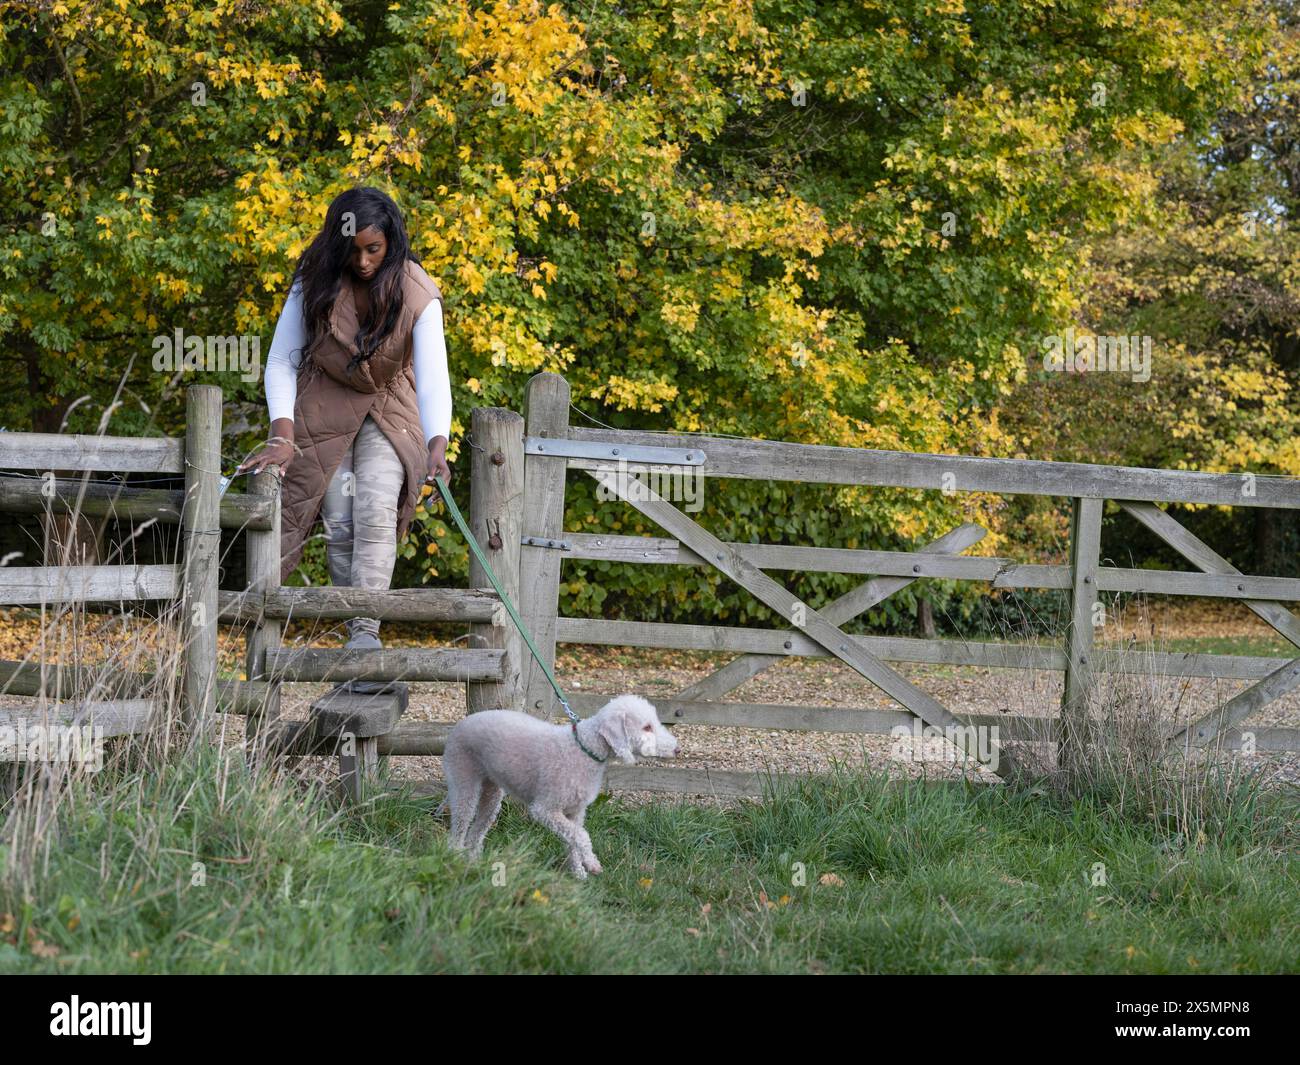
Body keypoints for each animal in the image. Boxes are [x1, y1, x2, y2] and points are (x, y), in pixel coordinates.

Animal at [439, 696, 681, 879]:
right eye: (647, 727)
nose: (677, 750)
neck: (585, 749)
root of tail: (459, 724)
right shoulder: (545, 809)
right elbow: (581, 836)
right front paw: (592, 864)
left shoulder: (575, 812)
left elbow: (573, 839)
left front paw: (579, 875)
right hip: (464, 779)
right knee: (460, 825)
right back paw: (454, 859)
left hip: (491, 792)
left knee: (476, 832)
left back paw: (473, 862)